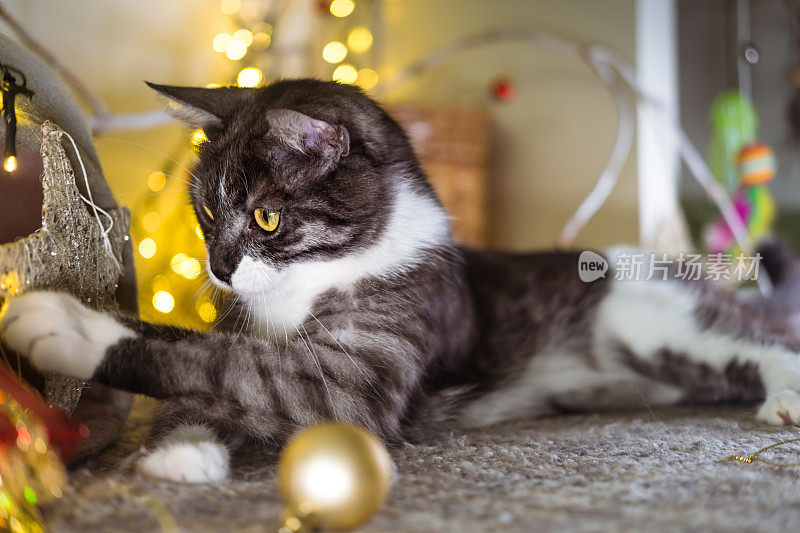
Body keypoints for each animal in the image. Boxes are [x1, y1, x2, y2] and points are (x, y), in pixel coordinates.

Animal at [1, 79, 800, 482]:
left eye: (265, 217)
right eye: (204, 212)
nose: (221, 269)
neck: (307, 284)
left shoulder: (359, 374)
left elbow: (223, 362)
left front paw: (68, 324)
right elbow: (218, 373)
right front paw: (178, 449)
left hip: (655, 319)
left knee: (759, 341)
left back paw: (785, 397)